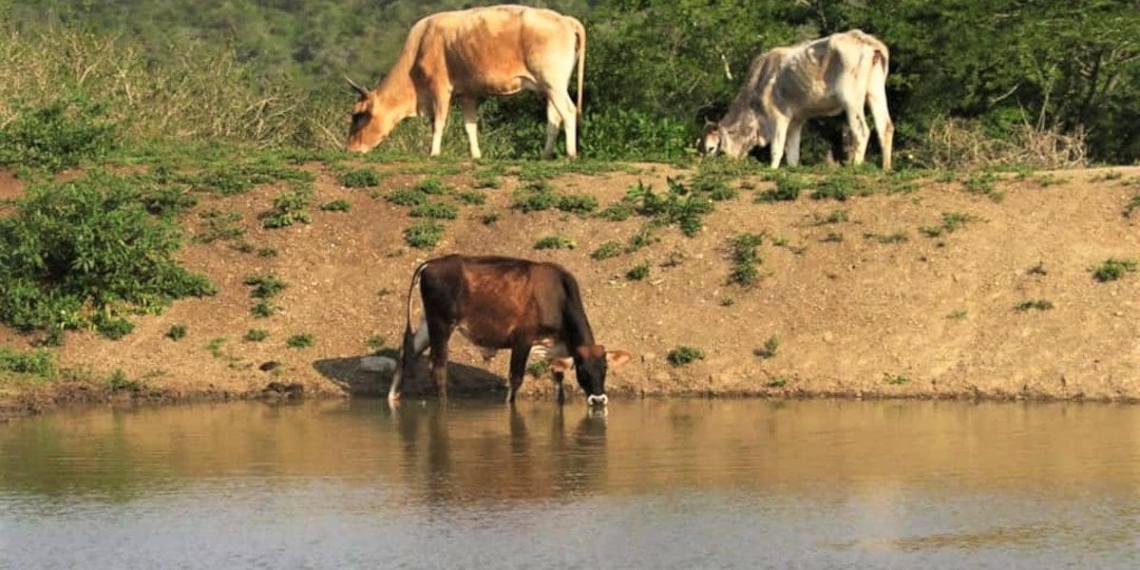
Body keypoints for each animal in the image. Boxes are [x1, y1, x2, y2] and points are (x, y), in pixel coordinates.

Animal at [345, 5, 586, 160]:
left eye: (359, 115)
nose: (350, 149)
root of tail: (564, 19)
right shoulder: (466, 94)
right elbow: (470, 125)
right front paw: (476, 156)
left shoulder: (440, 88)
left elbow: (439, 122)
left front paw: (434, 153)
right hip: (551, 87)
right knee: (554, 118)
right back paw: (545, 155)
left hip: (553, 83)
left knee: (568, 110)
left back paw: (571, 154)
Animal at [387, 255, 632, 408]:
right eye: (582, 369)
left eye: (605, 368)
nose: (598, 400)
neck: (556, 296)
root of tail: (431, 264)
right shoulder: (522, 339)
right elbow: (515, 379)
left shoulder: (554, 347)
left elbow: (558, 380)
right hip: (441, 324)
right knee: (437, 366)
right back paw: (444, 405)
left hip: (427, 324)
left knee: (407, 351)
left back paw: (393, 397)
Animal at [701, 30, 894, 170]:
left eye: (712, 148)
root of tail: (865, 40)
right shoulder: (796, 120)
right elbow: (792, 153)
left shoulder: (778, 117)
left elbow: (777, 149)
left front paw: (772, 170)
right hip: (876, 93)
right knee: (885, 127)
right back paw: (886, 168)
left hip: (851, 100)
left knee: (862, 131)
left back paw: (856, 167)